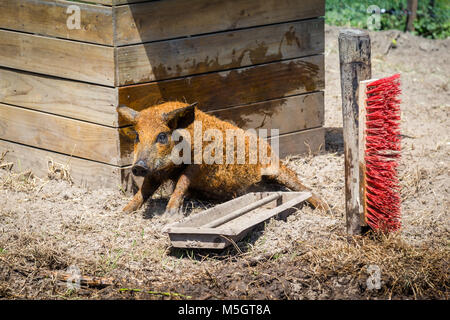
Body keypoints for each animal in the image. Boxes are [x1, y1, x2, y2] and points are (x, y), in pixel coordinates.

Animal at [116, 101, 326, 214]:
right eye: (137, 136)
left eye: (161, 136)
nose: (139, 166)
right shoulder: (155, 172)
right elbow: (144, 190)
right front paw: (125, 211)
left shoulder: (199, 163)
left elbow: (182, 182)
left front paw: (170, 213)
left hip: (276, 168)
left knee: (302, 186)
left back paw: (326, 208)